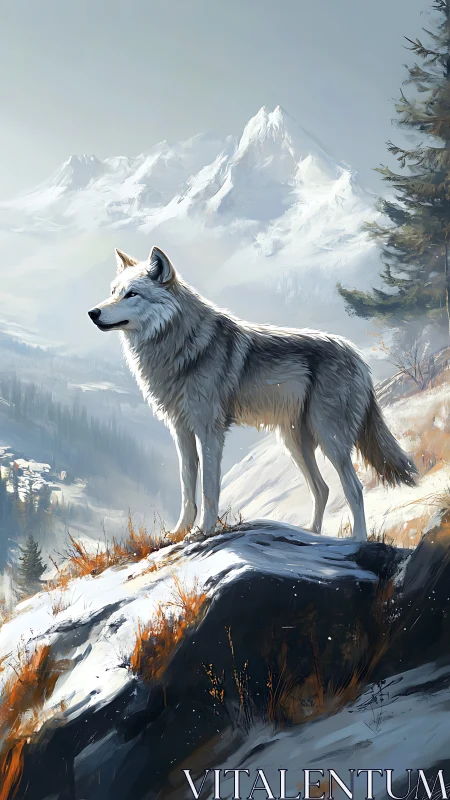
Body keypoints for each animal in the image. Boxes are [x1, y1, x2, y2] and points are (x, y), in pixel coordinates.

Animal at [88, 246, 417, 543]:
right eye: (113, 291)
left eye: (132, 294)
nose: (92, 312)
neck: (180, 346)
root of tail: (358, 357)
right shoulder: (181, 431)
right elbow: (186, 488)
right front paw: (178, 533)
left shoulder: (209, 431)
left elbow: (209, 488)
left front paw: (203, 532)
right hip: (294, 442)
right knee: (322, 488)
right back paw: (311, 533)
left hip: (330, 439)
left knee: (354, 488)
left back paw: (356, 542)